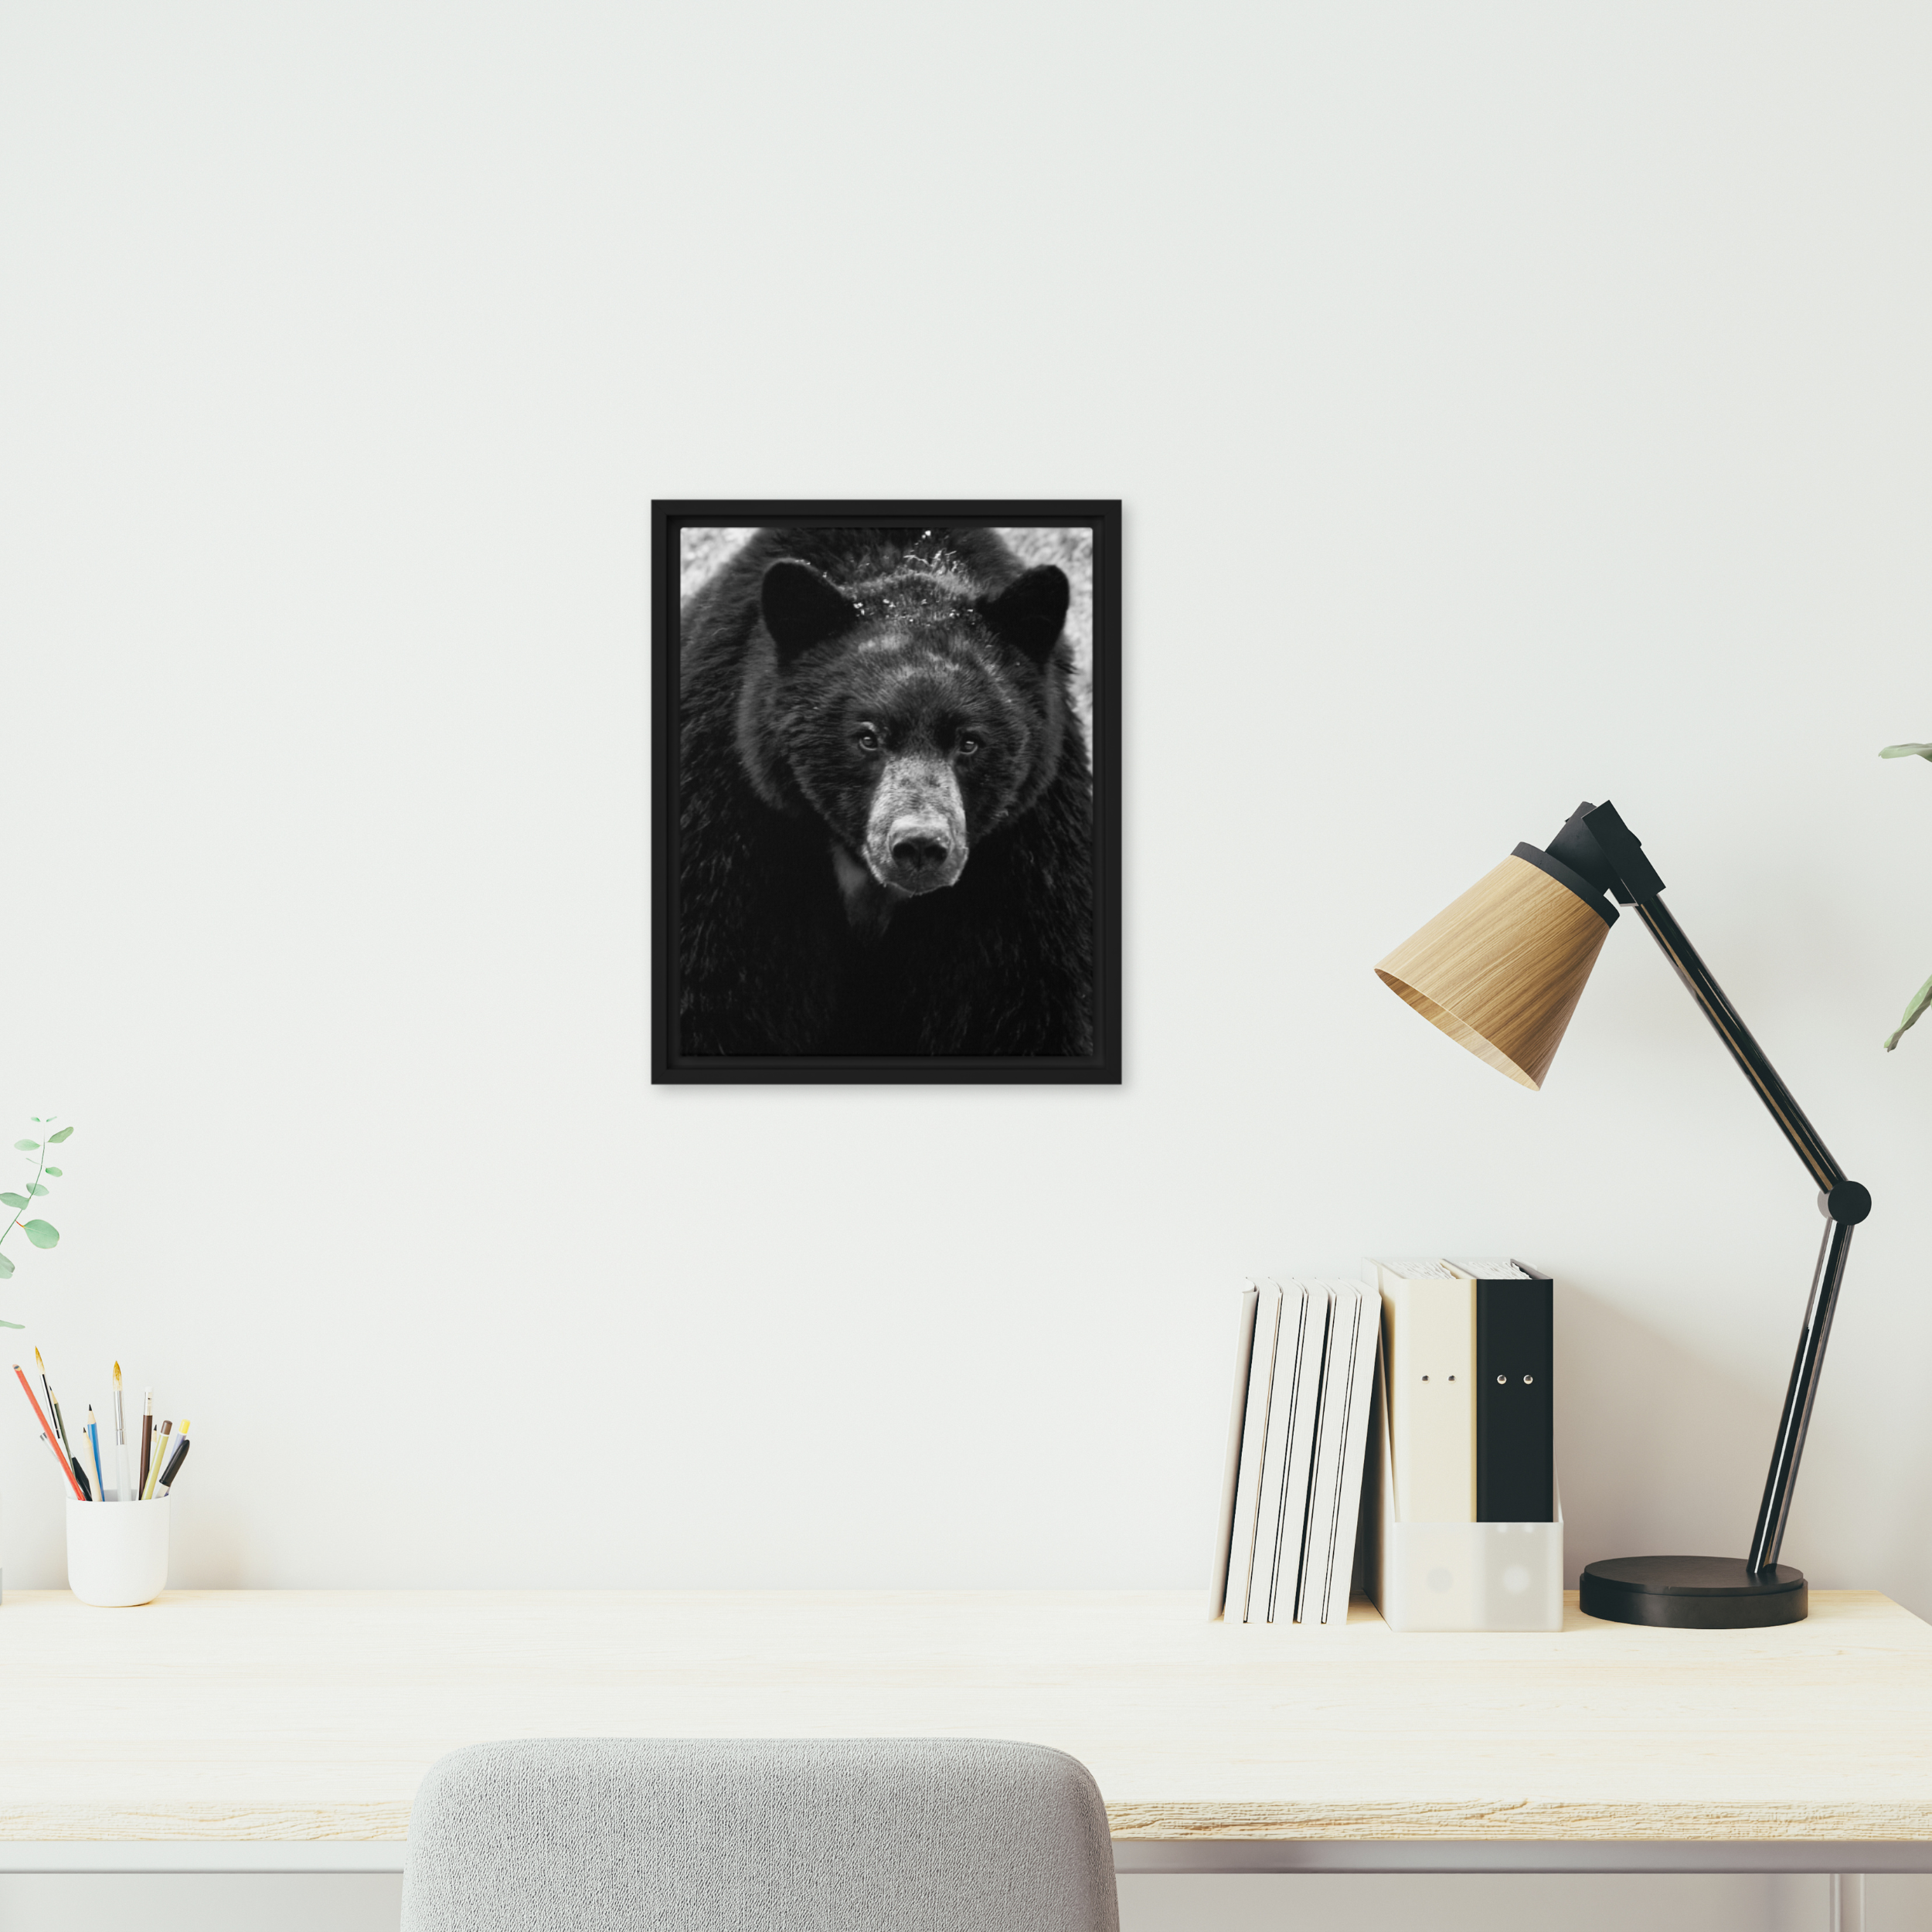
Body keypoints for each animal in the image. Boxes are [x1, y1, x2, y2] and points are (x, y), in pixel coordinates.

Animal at [676, 526, 1094, 1058]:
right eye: (868, 737)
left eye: (970, 742)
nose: (920, 847)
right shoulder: (733, 818)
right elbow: (720, 984)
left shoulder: (1027, 851)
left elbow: (1024, 995)